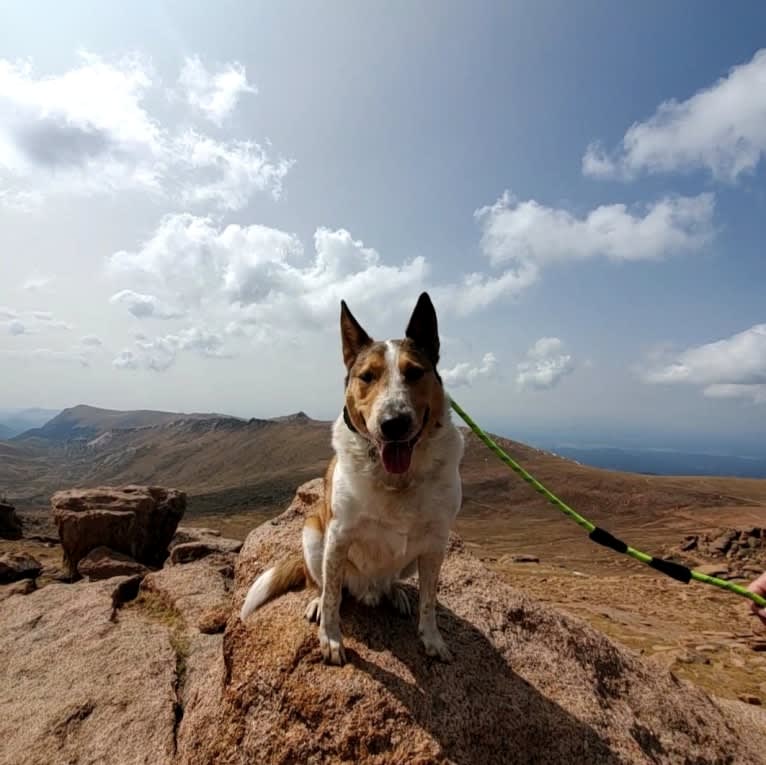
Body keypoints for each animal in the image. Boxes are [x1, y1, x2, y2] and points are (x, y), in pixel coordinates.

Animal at [240, 292, 464, 664]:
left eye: (414, 373)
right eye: (367, 376)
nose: (393, 423)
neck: (396, 478)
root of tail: (368, 589)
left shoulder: (435, 544)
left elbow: (429, 601)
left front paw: (431, 638)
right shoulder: (338, 535)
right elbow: (333, 596)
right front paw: (330, 638)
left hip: (405, 563)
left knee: (392, 582)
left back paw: (396, 593)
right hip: (313, 536)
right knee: (323, 584)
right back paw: (318, 602)